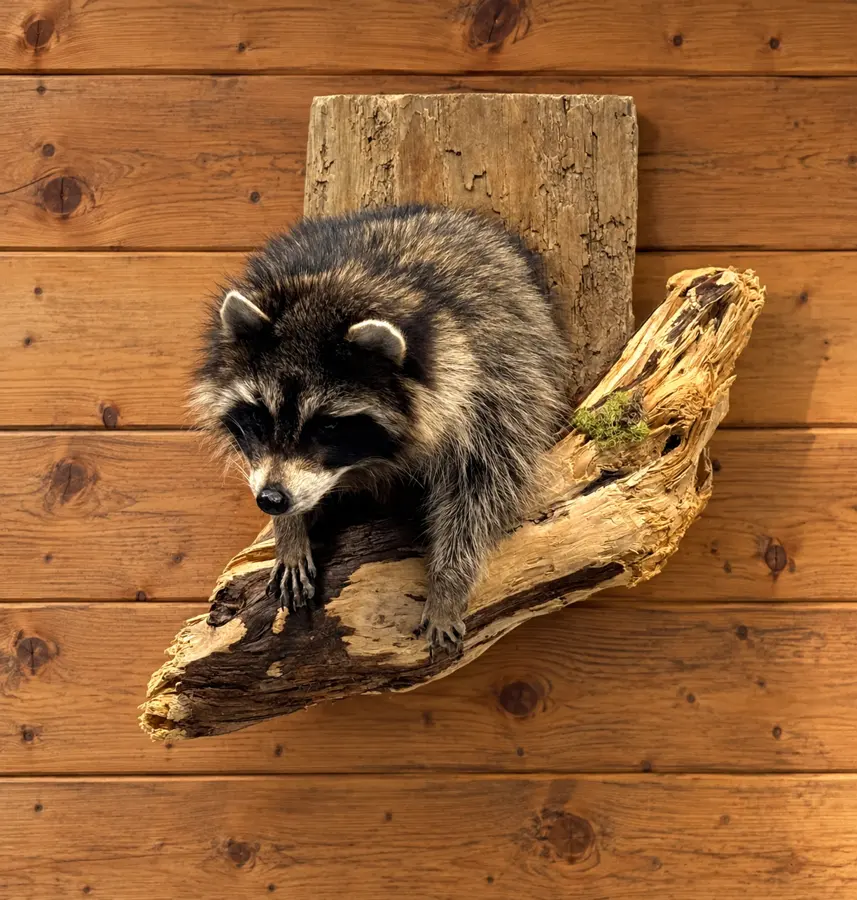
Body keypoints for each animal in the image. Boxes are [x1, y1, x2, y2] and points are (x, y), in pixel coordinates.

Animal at [192, 205, 570, 653]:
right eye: (259, 417)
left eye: (328, 426)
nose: (272, 500)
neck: (348, 280)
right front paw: (291, 532)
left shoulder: (495, 379)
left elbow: (484, 484)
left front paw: (450, 579)